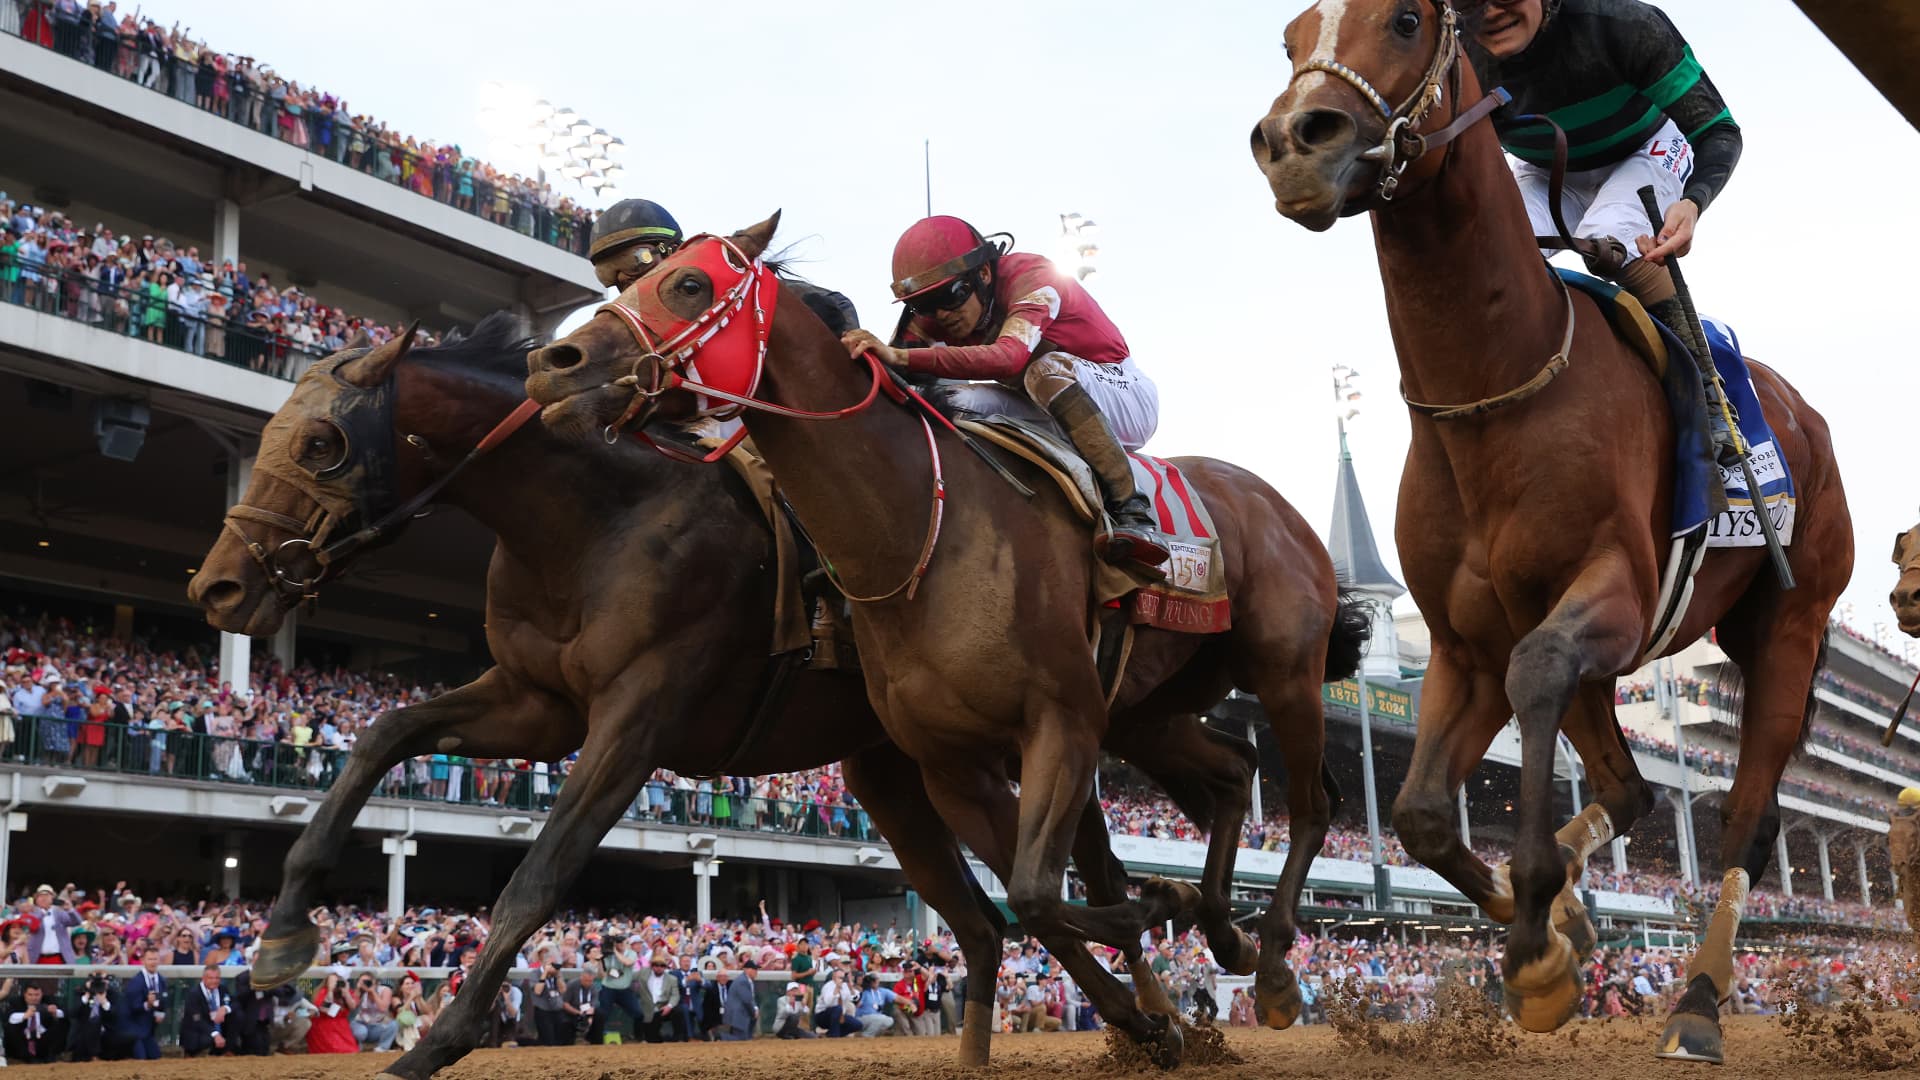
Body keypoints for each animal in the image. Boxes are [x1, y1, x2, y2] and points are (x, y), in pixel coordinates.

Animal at [188, 315, 1307, 1074]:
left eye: (323, 443)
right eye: (276, 435)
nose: (220, 587)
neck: (596, 517)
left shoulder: (637, 713)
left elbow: (539, 876)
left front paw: (440, 1040)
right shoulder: (534, 700)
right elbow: (383, 733)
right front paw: (283, 932)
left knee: (1070, 886)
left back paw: (1185, 982)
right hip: (903, 771)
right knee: (1013, 913)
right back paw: (1145, 1004)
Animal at [523, 218, 1372, 1063]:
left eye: (688, 284)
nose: (552, 365)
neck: (918, 529)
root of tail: (1269, 500)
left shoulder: (1062, 721)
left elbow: (1039, 891)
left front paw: (1160, 933)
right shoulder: (949, 763)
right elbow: (1032, 902)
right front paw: (1163, 925)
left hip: (1282, 668)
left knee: (1311, 802)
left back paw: (1272, 968)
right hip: (1148, 709)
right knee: (1232, 775)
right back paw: (1226, 931)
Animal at [1249, 0, 1853, 1064]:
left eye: (1405, 20)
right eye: (1290, 39)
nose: (1293, 144)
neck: (1495, 392)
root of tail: (1803, 417)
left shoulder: (1606, 594)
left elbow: (1537, 678)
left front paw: (1537, 944)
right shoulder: (1466, 642)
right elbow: (1420, 816)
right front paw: (1553, 931)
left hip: (1788, 625)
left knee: (1742, 819)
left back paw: (1696, 1002)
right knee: (1634, 790)